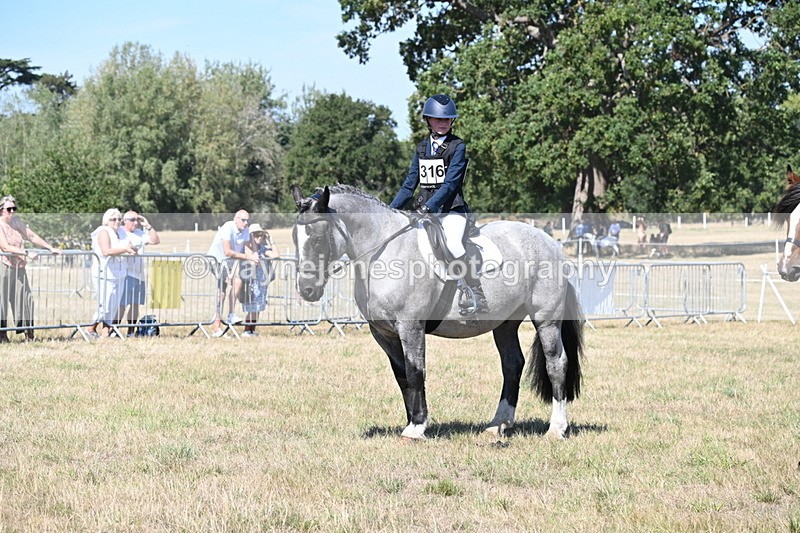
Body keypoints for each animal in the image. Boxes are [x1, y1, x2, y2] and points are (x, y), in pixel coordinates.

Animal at [291, 184, 584, 440]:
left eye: (318, 238)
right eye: (295, 237)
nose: (307, 290)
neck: (385, 251)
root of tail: (550, 243)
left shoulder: (410, 326)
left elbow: (415, 371)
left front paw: (417, 427)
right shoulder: (383, 333)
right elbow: (402, 375)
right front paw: (412, 420)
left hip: (546, 319)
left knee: (556, 363)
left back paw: (556, 429)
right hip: (505, 323)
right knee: (512, 364)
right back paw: (497, 425)